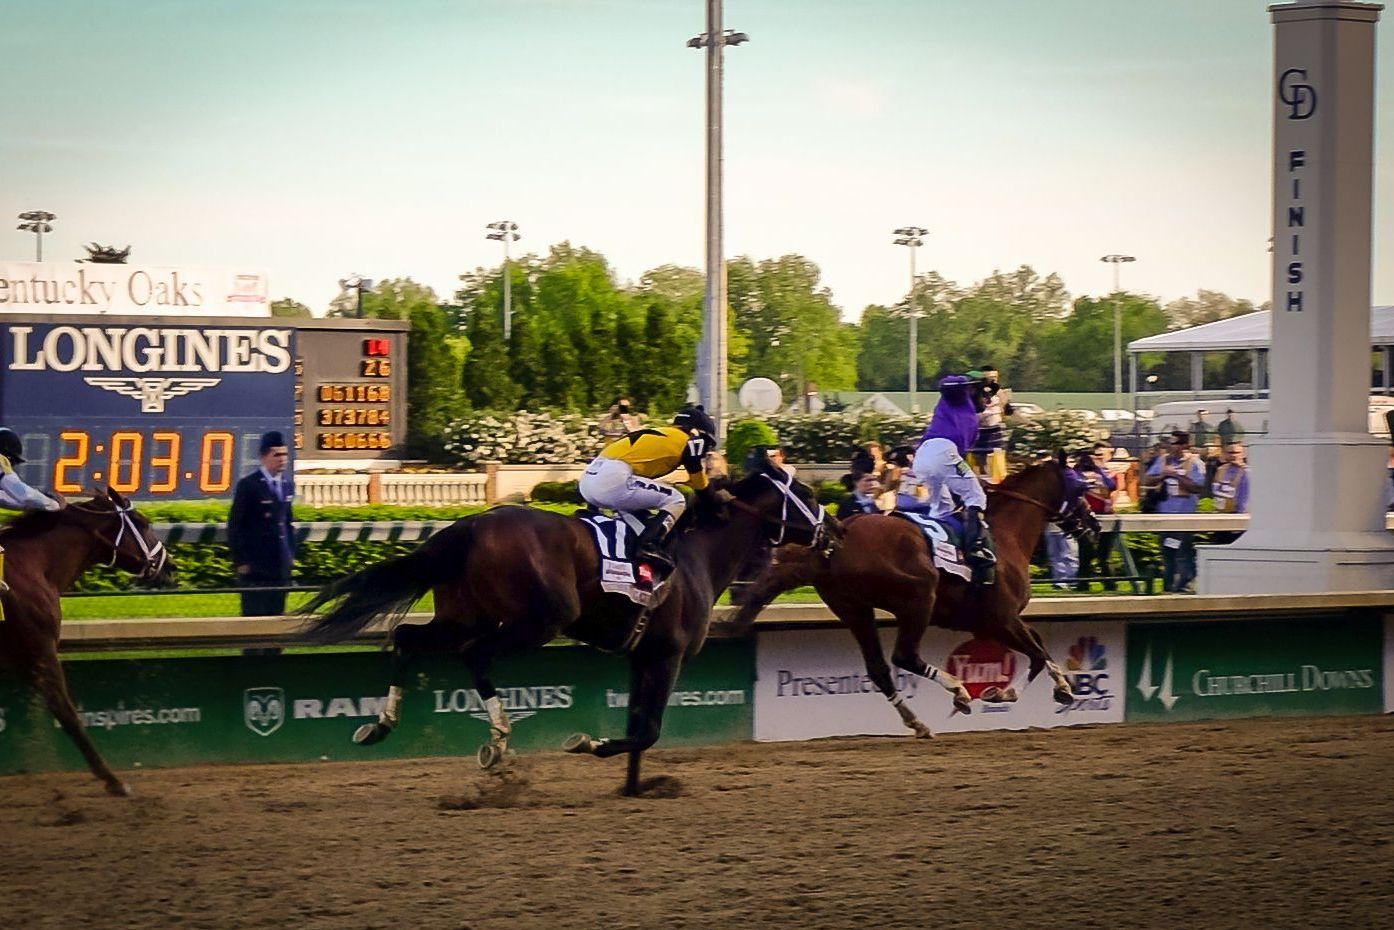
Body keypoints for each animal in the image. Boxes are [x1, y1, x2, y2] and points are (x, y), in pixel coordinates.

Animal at [0, 490, 174, 797]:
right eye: (143, 523)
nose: (170, 565)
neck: (33, 566)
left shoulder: (21, 659)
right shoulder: (41, 652)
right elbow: (67, 713)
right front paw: (113, 780)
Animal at [305, 457, 825, 791]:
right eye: (807, 495)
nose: (832, 531)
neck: (697, 553)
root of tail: (471, 525)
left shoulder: (641, 655)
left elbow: (639, 725)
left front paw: (634, 786)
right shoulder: (668, 654)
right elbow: (649, 730)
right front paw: (588, 743)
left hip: (461, 613)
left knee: (408, 637)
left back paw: (384, 725)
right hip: (539, 620)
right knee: (474, 652)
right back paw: (498, 740)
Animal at [730, 457, 1098, 736]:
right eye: (1081, 486)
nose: (1093, 525)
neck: (1006, 534)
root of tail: (831, 543)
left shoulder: (989, 622)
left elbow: (1038, 646)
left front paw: (1041, 689)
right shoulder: (1001, 617)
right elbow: (1037, 652)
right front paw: (1033, 690)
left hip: (854, 609)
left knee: (879, 668)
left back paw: (917, 722)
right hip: (918, 596)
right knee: (904, 656)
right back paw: (958, 692)